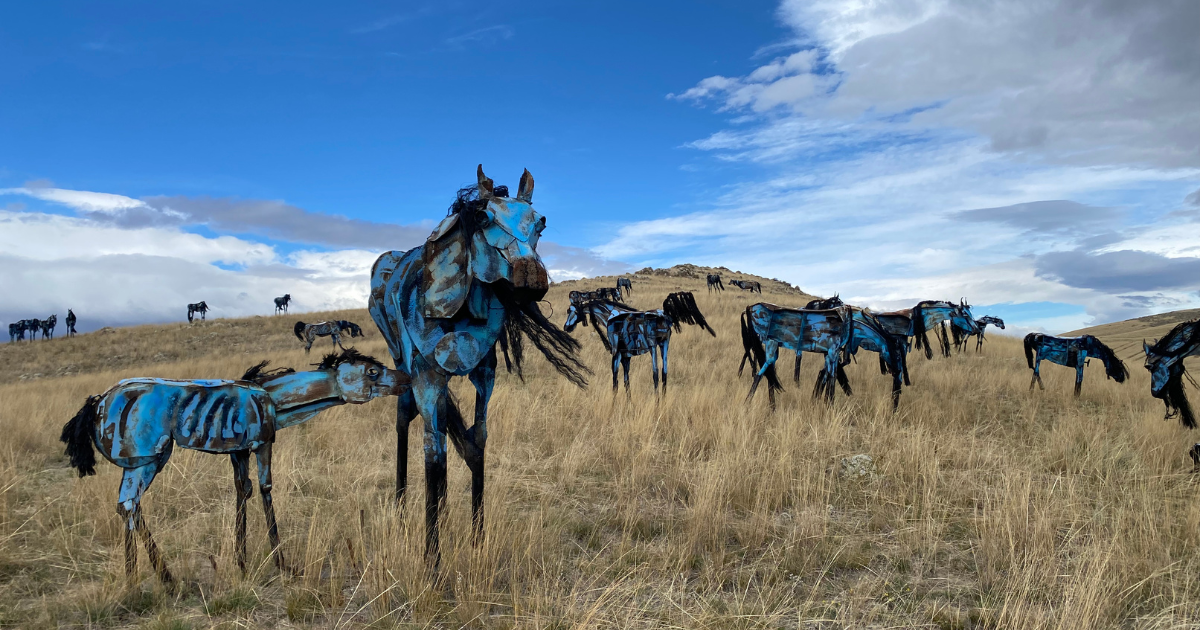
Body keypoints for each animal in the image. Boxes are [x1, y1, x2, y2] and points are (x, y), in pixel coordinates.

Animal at [59, 349, 409, 584]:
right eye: (372, 371)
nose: (406, 379)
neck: (273, 398)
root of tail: (98, 400)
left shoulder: (238, 451)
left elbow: (243, 491)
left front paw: (241, 562)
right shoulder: (262, 444)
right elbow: (266, 489)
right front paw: (284, 565)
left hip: (147, 461)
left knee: (129, 506)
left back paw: (162, 577)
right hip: (145, 459)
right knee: (129, 504)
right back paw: (140, 580)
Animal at [368, 166, 587, 566]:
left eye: (541, 222)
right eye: (484, 218)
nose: (530, 276)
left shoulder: (486, 375)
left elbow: (477, 443)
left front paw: (477, 539)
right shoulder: (426, 379)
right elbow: (434, 459)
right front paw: (433, 562)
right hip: (402, 367)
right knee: (404, 422)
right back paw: (402, 511)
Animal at [564, 292, 714, 394]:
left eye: (571, 310)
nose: (566, 327)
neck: (611, 316)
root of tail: (665, 313)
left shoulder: (616, 353)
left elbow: (615, 380)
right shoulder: (626, 356)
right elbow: (626, 381)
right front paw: (628, 405)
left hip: (653, 347)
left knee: (655, 374)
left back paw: (657, 405)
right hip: (664, 345)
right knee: (664, 373)